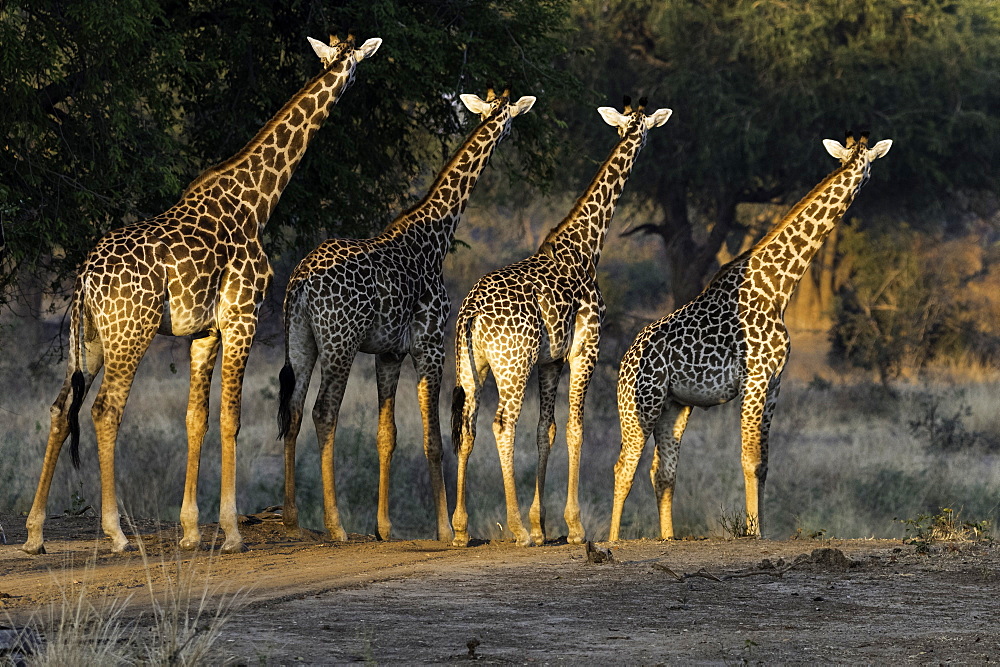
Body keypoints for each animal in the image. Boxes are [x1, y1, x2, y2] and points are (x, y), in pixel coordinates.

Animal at [24, 36, 382, 560]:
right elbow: (233, 417)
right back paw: (116, 533)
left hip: (88, 340)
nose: (351, 79)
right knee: (104, 410)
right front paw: (231, 532)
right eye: (354, 64)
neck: (256, 202)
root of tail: (85, 278)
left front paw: (191, 531)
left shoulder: (204, 332)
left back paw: (34, 534)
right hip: (130, 334)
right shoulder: (241, 317)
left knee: (57, 409)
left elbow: (197, 418)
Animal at [274, 88, 540, 544]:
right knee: (323, 412)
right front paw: (444, 529)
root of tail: (301, 282)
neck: (435, 237)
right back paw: (336, 524)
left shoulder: (389, 353)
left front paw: (384, 527)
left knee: (293, 408)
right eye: (506, 117)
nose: (506, 131)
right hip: (340, 342)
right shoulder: (429, 345)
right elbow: (433, 438)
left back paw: (292, 516)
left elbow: (387, 435)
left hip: (301, 340)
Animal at [452, 99, 672, 548]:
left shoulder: (550, 360)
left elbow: (546, 430)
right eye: (644, 130)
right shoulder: (586, 348)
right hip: (513, 365)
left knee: (467, 427)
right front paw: (572, 526)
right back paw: (517, 530)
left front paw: (542, 523)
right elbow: (575, 428)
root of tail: (471, 313)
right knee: (502, 425)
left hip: (471, 366)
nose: (641, 143)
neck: (586, 246)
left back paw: (461, 529)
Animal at [604, 132, 896, 544]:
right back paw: (612, 540)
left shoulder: (775, 383)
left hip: (674, 407)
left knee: (662, 472)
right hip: (640, 404)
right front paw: (753, 531)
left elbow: (765, 462)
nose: (861, 178)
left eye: (867, 161)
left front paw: (764, 527)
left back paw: (668, 537)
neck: (778, 288)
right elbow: (749, 458)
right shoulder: (755, 379)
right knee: (624, 466)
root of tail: (624, 362)